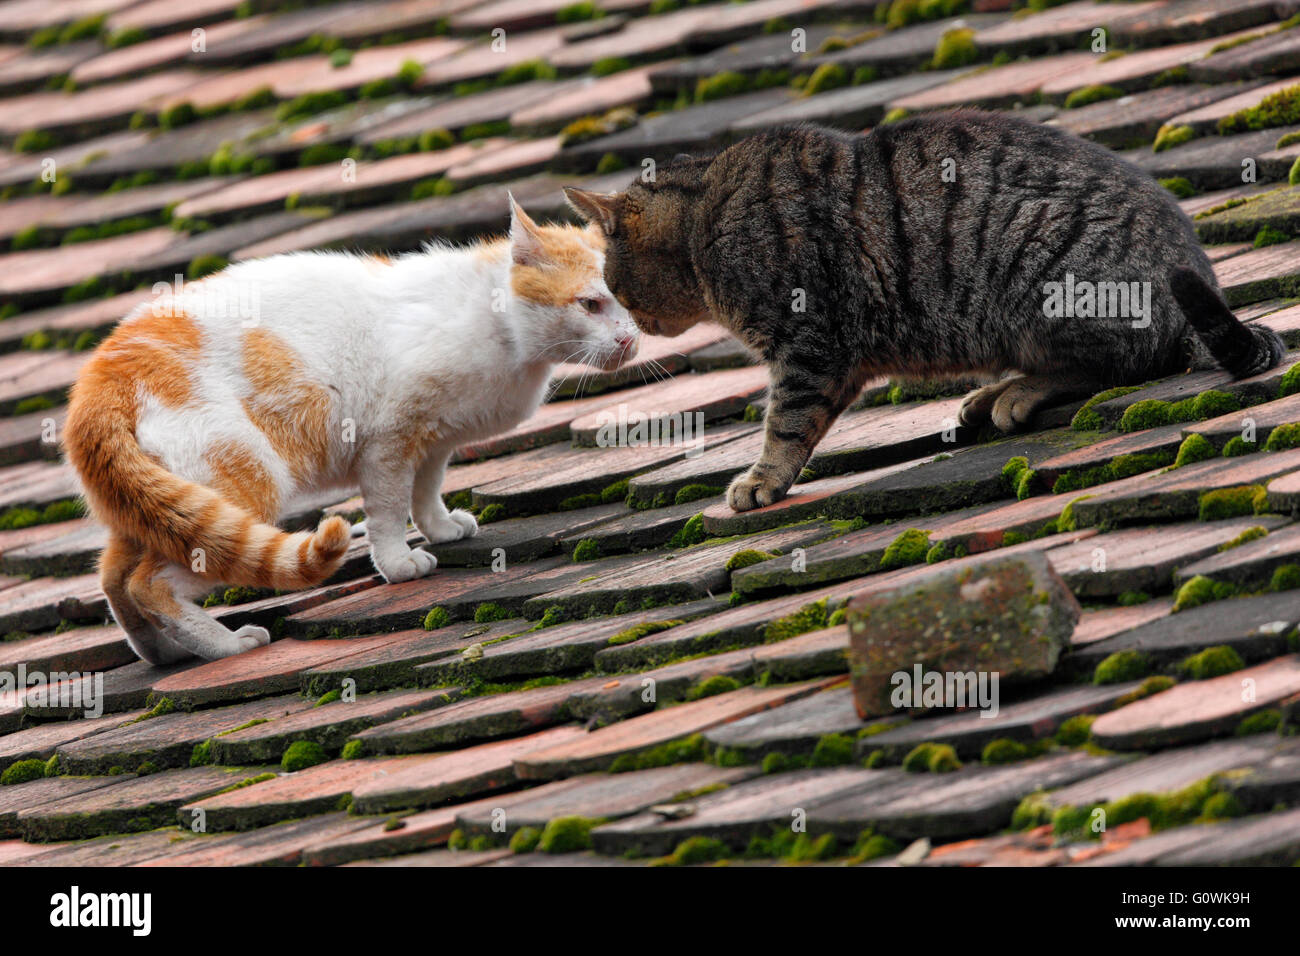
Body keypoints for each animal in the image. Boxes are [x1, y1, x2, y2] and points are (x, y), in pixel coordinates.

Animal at [63, 200, 642, 665]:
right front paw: (399, 563)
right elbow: (388, 509)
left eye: (632, 305)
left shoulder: (434, 441)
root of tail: (102, 377)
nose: (628, 340)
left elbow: (426, 491)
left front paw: (440, 527)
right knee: (150, 586)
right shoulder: (391, 441)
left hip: (159, 509)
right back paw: (227, 646)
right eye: (591, 304)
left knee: (115, 580)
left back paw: (164, 654)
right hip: (243, 484)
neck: (499, 327)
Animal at [564, 113, 1284, 512]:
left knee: (1123, 361)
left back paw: (1017, 391)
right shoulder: (834, 359)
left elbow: (786, 424)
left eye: (612, 284)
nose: (636, 328)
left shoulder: (810, 345)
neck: (704, 220)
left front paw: (761, 480)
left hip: (1044, 274)